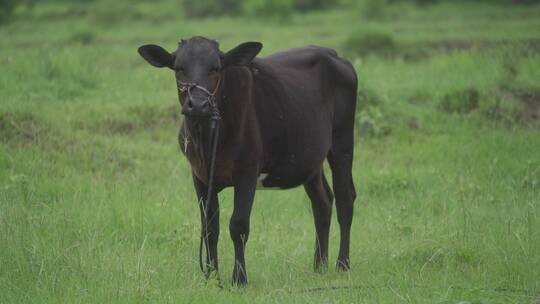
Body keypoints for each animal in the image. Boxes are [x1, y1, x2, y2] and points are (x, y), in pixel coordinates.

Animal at [139, 36, 356, 286]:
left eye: (216, 68)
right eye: (179, 68)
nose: (199, 104)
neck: (208, 140)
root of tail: (334, 55)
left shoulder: (247, 171)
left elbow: (238, 225)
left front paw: (239, 278)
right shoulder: (199, 175)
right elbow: (209, 228)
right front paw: (212, 276)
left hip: (342, 142)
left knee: (344, 199)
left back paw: (342, 264)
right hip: (309, 159)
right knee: (322, 202)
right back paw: (319, 266)